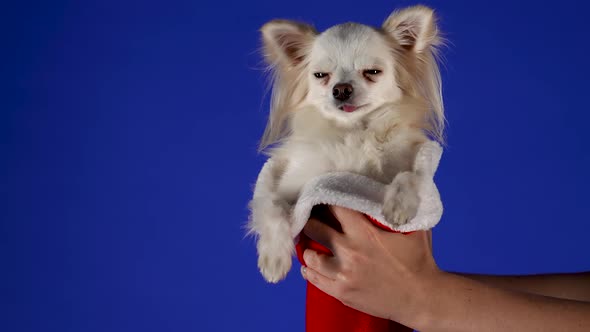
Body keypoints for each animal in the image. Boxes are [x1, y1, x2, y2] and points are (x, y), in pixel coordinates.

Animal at [247, 5, 446, 282]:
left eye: (372, 72)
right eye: (321, 76)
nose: (341, 89)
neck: (354, 132)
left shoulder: (417, 157)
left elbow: (412, 175)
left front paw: (399, 204)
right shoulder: (291, 184)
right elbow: (270, 204)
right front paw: (273, 258)